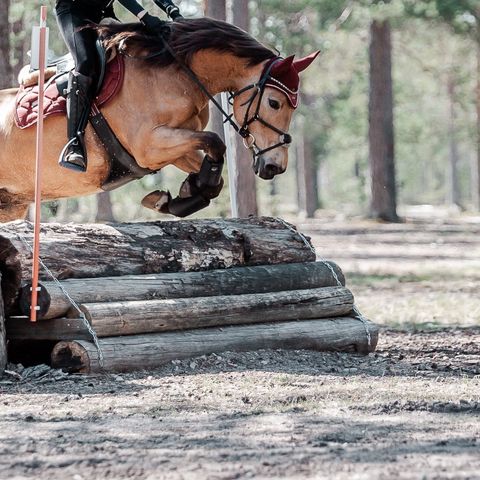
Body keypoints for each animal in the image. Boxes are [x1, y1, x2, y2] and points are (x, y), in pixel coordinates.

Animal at [0, 17, 318, 222]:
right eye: (274, 103)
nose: (275, 166)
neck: (175, 73)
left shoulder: (173, 146)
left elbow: (212, 165)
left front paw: (179, 197)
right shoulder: (149, 146)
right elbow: (216, 141)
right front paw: (181, 196)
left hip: (11, 205)